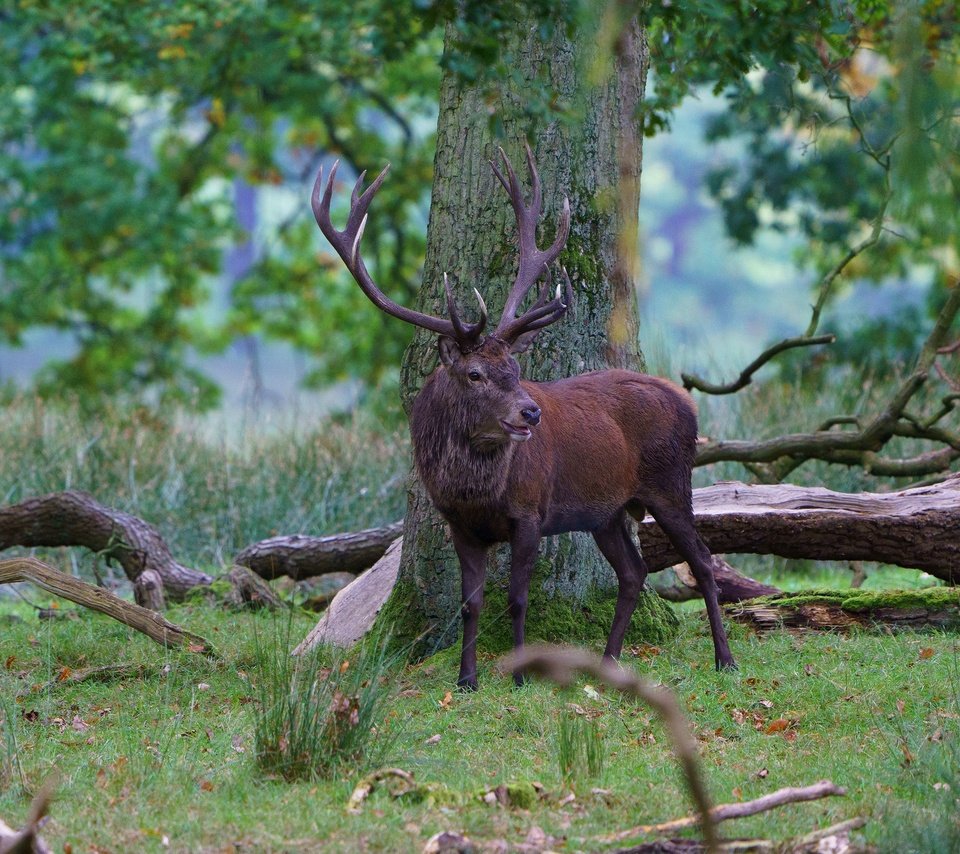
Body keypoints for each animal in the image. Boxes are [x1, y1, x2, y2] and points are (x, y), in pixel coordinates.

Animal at [312, 145, 740, 688]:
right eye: (475, 373)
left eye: (515, 369)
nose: (531, 412)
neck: (475, 491)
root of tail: (689, 403)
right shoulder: (459, 525)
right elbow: (470, 605)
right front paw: (466, 680)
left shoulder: (530, 511)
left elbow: (517, 599)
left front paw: (518, 676)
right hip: (606, 510)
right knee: (633, 572)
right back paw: (609, 662)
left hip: (669, 482)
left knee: (703, 561)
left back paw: (724, 659)